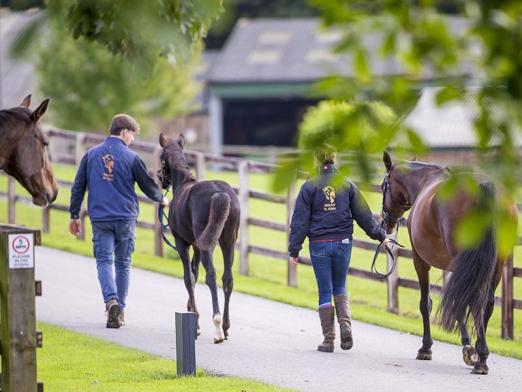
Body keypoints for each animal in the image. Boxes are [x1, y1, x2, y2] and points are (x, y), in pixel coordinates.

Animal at [155, 132, 239, 344]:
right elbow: (195, 272)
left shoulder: (183, 243)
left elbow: (189, 278)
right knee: (227, 279)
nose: (160, 177)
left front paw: (196, 325)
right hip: (228, 243)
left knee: (212, 275)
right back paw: (226, 327)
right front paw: (191, 312)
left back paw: (217, 328)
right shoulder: (197, 246)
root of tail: (219, 193)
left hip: (208, 244)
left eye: (161, 156)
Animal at [378, 152, 516, 376]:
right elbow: (456, 302)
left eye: (384, 186)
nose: (385, 222)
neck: (424, 183)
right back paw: (481, 356)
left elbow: (426, 303)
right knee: (486, 303)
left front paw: (427, 348)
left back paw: (480, 358)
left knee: (474, 301)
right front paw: (469, 347)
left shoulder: (420, 260)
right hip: (496, 264)